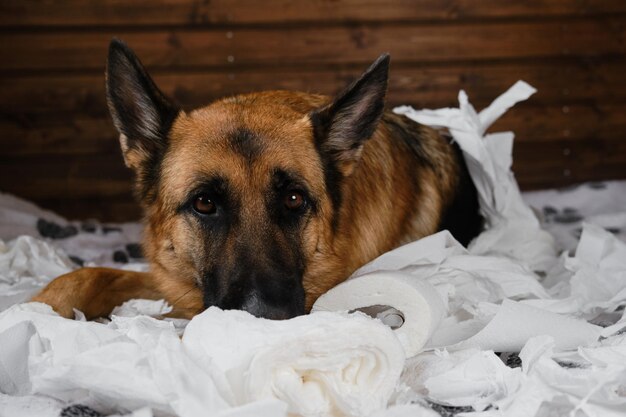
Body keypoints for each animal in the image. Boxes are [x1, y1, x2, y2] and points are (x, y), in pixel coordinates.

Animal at [33, 39, 482, 318]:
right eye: (204, 203)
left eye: (294, 199)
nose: (264, 318)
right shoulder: (174, 278)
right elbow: (92, 272)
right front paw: (38, 308)